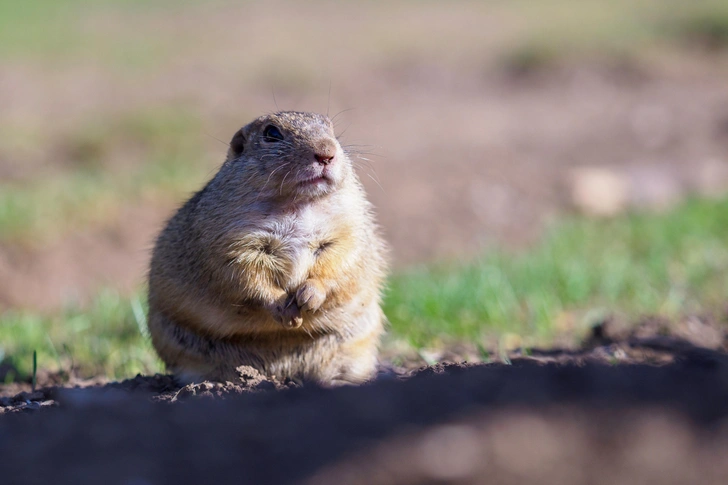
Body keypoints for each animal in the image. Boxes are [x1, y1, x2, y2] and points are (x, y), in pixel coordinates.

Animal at [145, 111, 390, 384]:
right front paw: (284, 310)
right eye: (272, 133)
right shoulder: (232, 241)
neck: (296, 203)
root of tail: (282, 373)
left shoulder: (347, 227)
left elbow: (341, 261)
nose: (326, 153)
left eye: (331, 129)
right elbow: (246, 275)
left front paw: (309, 296)